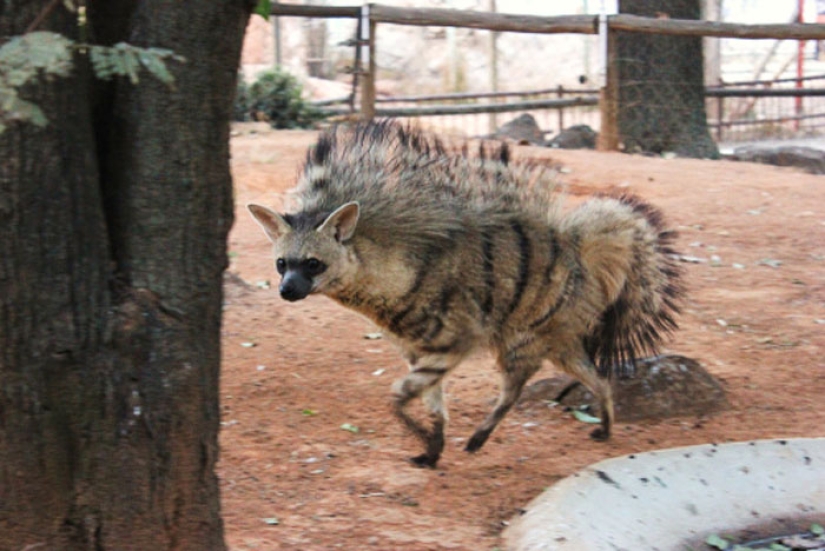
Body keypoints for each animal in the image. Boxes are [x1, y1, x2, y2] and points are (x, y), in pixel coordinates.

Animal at [249, 120, 682, 468]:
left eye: (313, 264)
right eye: (282, 263)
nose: (287, 291)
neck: (391, 282)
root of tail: (580, 248)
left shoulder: (456, 338)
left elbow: (397, 398)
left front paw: (428, 440)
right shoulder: (419, 350)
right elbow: (432, 404)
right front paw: (432, 448)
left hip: (526, 333)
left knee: (516, 385)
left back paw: (481, 436)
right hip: (557, 339)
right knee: (597, 377)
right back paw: (605, 426)